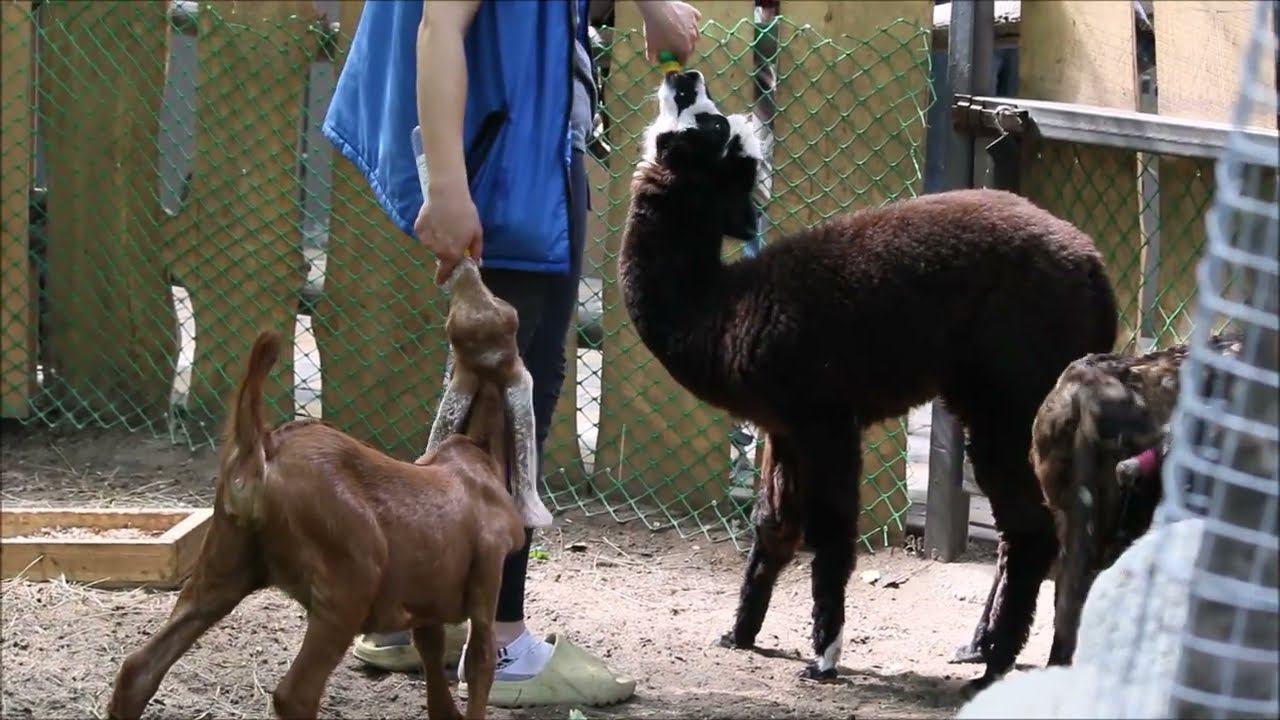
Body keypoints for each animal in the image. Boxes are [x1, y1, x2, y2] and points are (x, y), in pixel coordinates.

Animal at [619, 69, 1120, 694]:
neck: (720, 310)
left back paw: (994, 667)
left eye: (708, 123)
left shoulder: (827, 418)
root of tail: (1096, 271)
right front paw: (739, 633)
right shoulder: (782, 426)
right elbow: (774, 527)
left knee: (1034, 531)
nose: (682, 75)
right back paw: (980, 647)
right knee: (1036, 530)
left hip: (1011, 399)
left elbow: (832, 534)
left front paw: (823, 657)